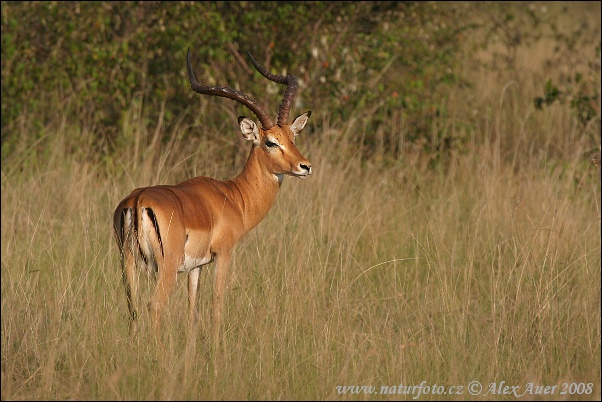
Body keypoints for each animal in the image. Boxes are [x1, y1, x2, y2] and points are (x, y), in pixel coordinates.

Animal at [112, 48, 312, 342]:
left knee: (133, 309)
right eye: (270, 142)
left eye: (292, 138)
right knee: (154, 306)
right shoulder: (224, 254)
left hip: (128, 265)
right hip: (166, 268)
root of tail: (137, 202)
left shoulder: (196, 267)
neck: (235, 196)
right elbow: (217, 305)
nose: (304, 166)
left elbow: (193, 312)